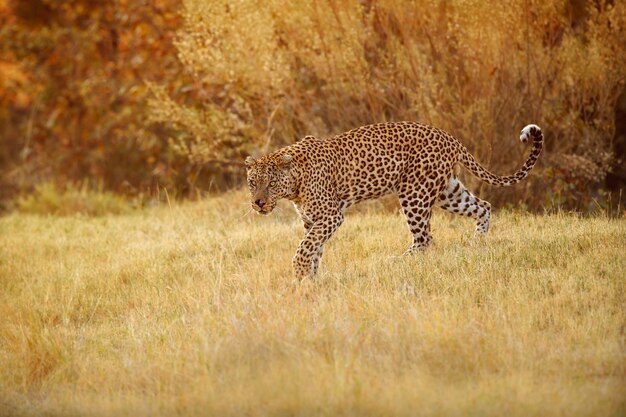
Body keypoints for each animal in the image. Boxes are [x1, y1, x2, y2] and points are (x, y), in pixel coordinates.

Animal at [244, 122, 540, 282]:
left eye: (270, 183)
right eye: (252, 182)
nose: (258, 203)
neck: (295, 183)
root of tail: (449, 137)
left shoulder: (331, 216)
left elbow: (305, 247)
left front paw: (299, 273)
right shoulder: (312, 220)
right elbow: (314, 248)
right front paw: (310, 278)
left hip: (414, 193)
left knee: (425, 238)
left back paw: (395, 262)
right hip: (447, 191)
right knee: (482, 207)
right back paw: (475, 244)